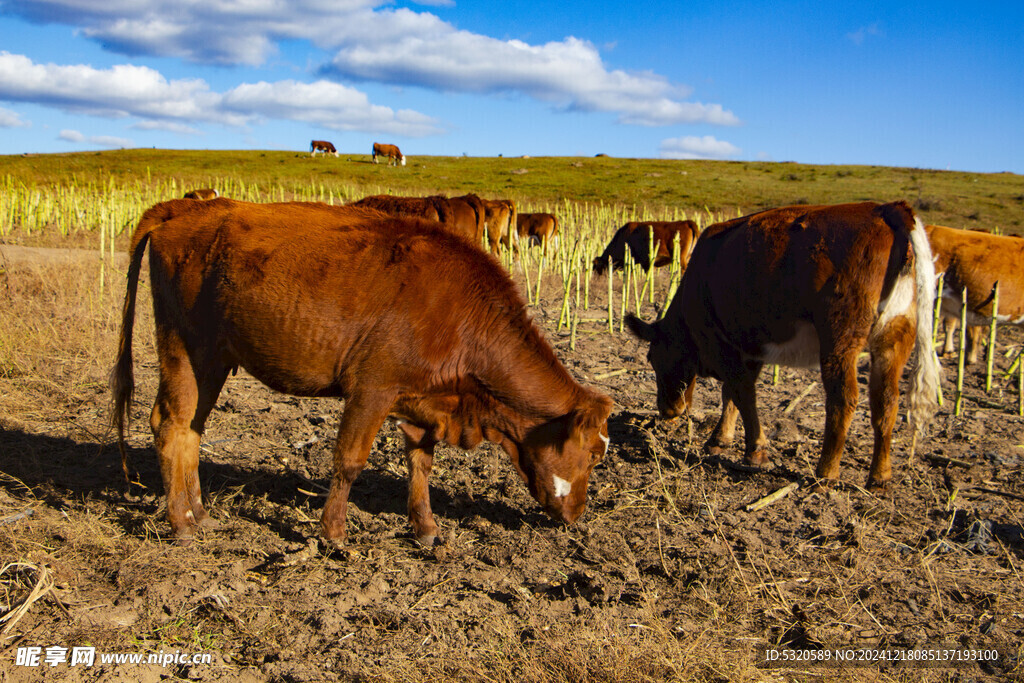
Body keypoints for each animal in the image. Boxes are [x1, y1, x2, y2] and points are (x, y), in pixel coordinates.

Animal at [113, 196, 610, 544]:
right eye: (593, 455)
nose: (578, 515)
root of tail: (184, 209)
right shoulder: (373, 389)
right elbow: (349, 461)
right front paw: (333, 534)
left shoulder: (420, 401)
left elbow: (420, 465)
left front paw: (426, 529)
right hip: (183, 348)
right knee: (170, 425)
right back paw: (181, 523)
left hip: (213, 361)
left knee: (192, 429)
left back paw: (201, 514)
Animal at [618, 200, 937, 489]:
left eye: (653, 358)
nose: (667, 411)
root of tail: (886, 208)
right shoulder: (748, 347)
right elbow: (731, 394)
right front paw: (721, 439)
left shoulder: (723, 344)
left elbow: (742, 393)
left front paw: (755, 451)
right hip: (893, 340)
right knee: (886, 402)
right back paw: (880, 477)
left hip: (840, 339)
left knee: (843, 399)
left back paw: (825, 473)